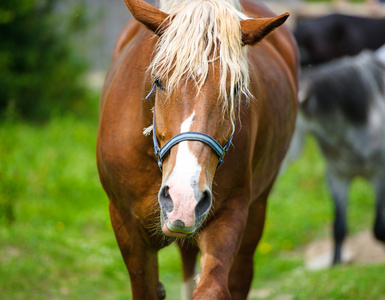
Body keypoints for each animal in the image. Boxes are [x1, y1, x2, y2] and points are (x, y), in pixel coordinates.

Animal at [96, 0, 296, 298]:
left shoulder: (229, 214)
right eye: (158, 81)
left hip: (256, 209)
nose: (184, 197)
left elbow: (212, 288)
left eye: (236, 88)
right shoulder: (125, 225)